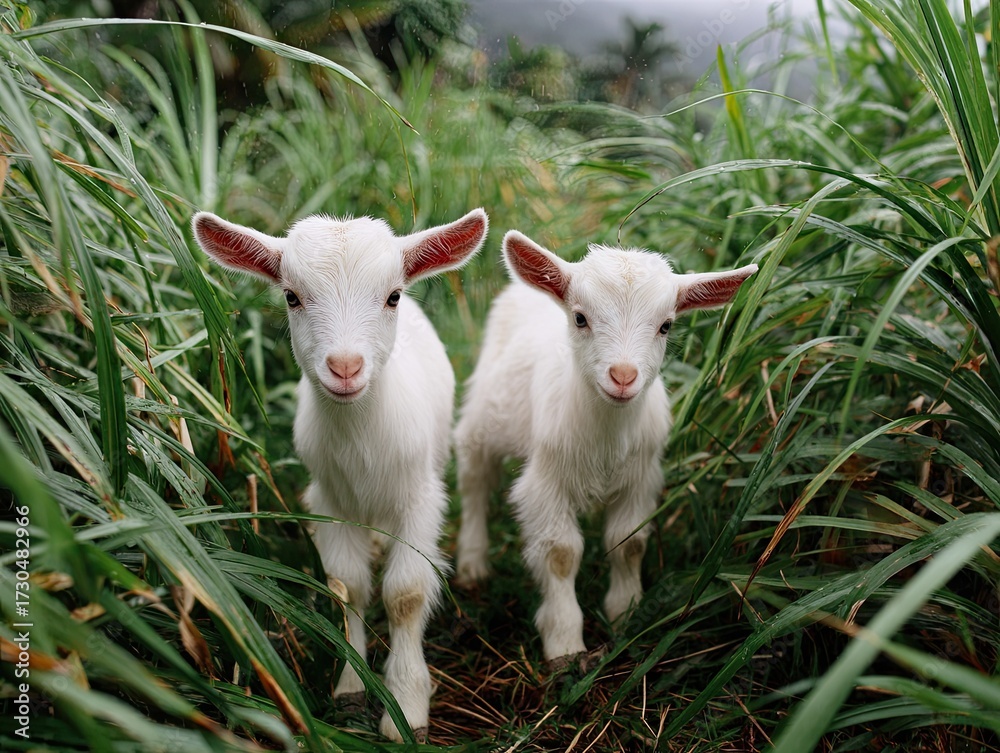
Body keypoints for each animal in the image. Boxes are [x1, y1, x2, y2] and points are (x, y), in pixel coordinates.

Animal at [192, 208, 488, 740]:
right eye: (292, 296)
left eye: (392, 296)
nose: (345, 367)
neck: (361, 441)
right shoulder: (329, 500)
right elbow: (347, 585)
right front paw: (351, 688)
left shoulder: (419, 499)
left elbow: (405, 594)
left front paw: (407, 705)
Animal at [454, 230, 756, 662]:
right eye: (581, 318)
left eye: (666, 325)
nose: (623, 376)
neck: (606, 438)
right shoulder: (546, 483)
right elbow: (561, 554)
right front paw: (564, 643)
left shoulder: (640, 480)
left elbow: (628, 543)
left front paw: (625, 614)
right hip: (482, 417)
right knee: (474, 481)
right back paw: (473, 563)